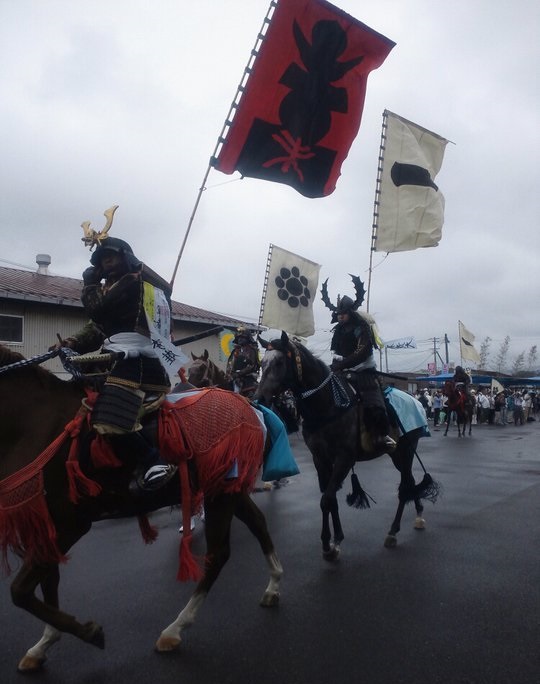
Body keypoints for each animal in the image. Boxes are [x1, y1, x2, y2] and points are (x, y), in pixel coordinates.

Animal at [1, 344, 282, 676]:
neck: (36, 424)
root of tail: (249, 406)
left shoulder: (70, 523)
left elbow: (20, 590)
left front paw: (88, 632)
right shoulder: (48, 523)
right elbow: (46, 583)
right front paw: (43, 645)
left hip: (221, 493)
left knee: (218, 555)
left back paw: (175, 629)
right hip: (228, 489)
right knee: (258, 523)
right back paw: (273, 586)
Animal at [254, 332, 438, 560]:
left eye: (279, 362)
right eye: (262, 363)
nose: (259, 398)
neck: (327, 404)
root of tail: (416, 401)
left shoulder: (344, 458)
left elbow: (326, 499)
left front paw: (328, 545)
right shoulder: (320, 459)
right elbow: (330, 498)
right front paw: (335, 540)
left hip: (405, 450)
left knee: (405, 487)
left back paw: (393, 532)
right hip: (397, 454)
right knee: (410, 482)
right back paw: (418, 515)